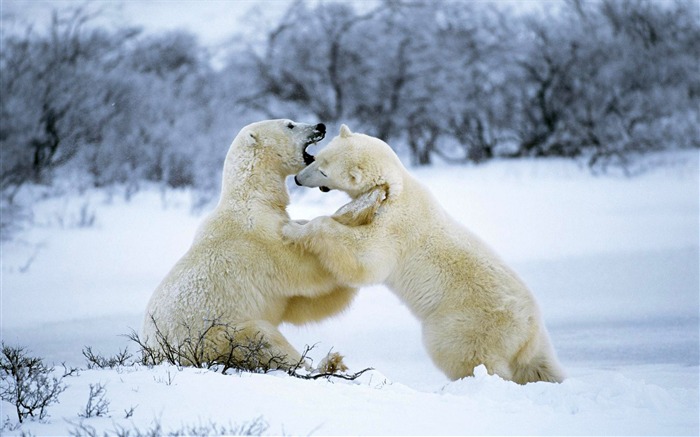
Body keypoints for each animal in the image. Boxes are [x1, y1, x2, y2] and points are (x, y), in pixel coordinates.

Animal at [143, 120, 358, 372]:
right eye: (290, 124)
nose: (320, 126)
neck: (253, 197)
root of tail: (153, 354)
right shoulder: (259, 240)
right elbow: (303, 270)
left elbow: (300, 304)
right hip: (214, 337)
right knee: (261, 339)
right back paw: (326, 363)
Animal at [282, 124, 568, 384]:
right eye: (318, 157)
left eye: (323, 170)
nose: (298, 179)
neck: (397, 187)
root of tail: (529, 328)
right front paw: (298, 222)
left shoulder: (395, 227)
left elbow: (365, 257)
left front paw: (294, 229)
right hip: (533, 342)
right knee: (539, 365)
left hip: (467, 323)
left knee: (464, 354)